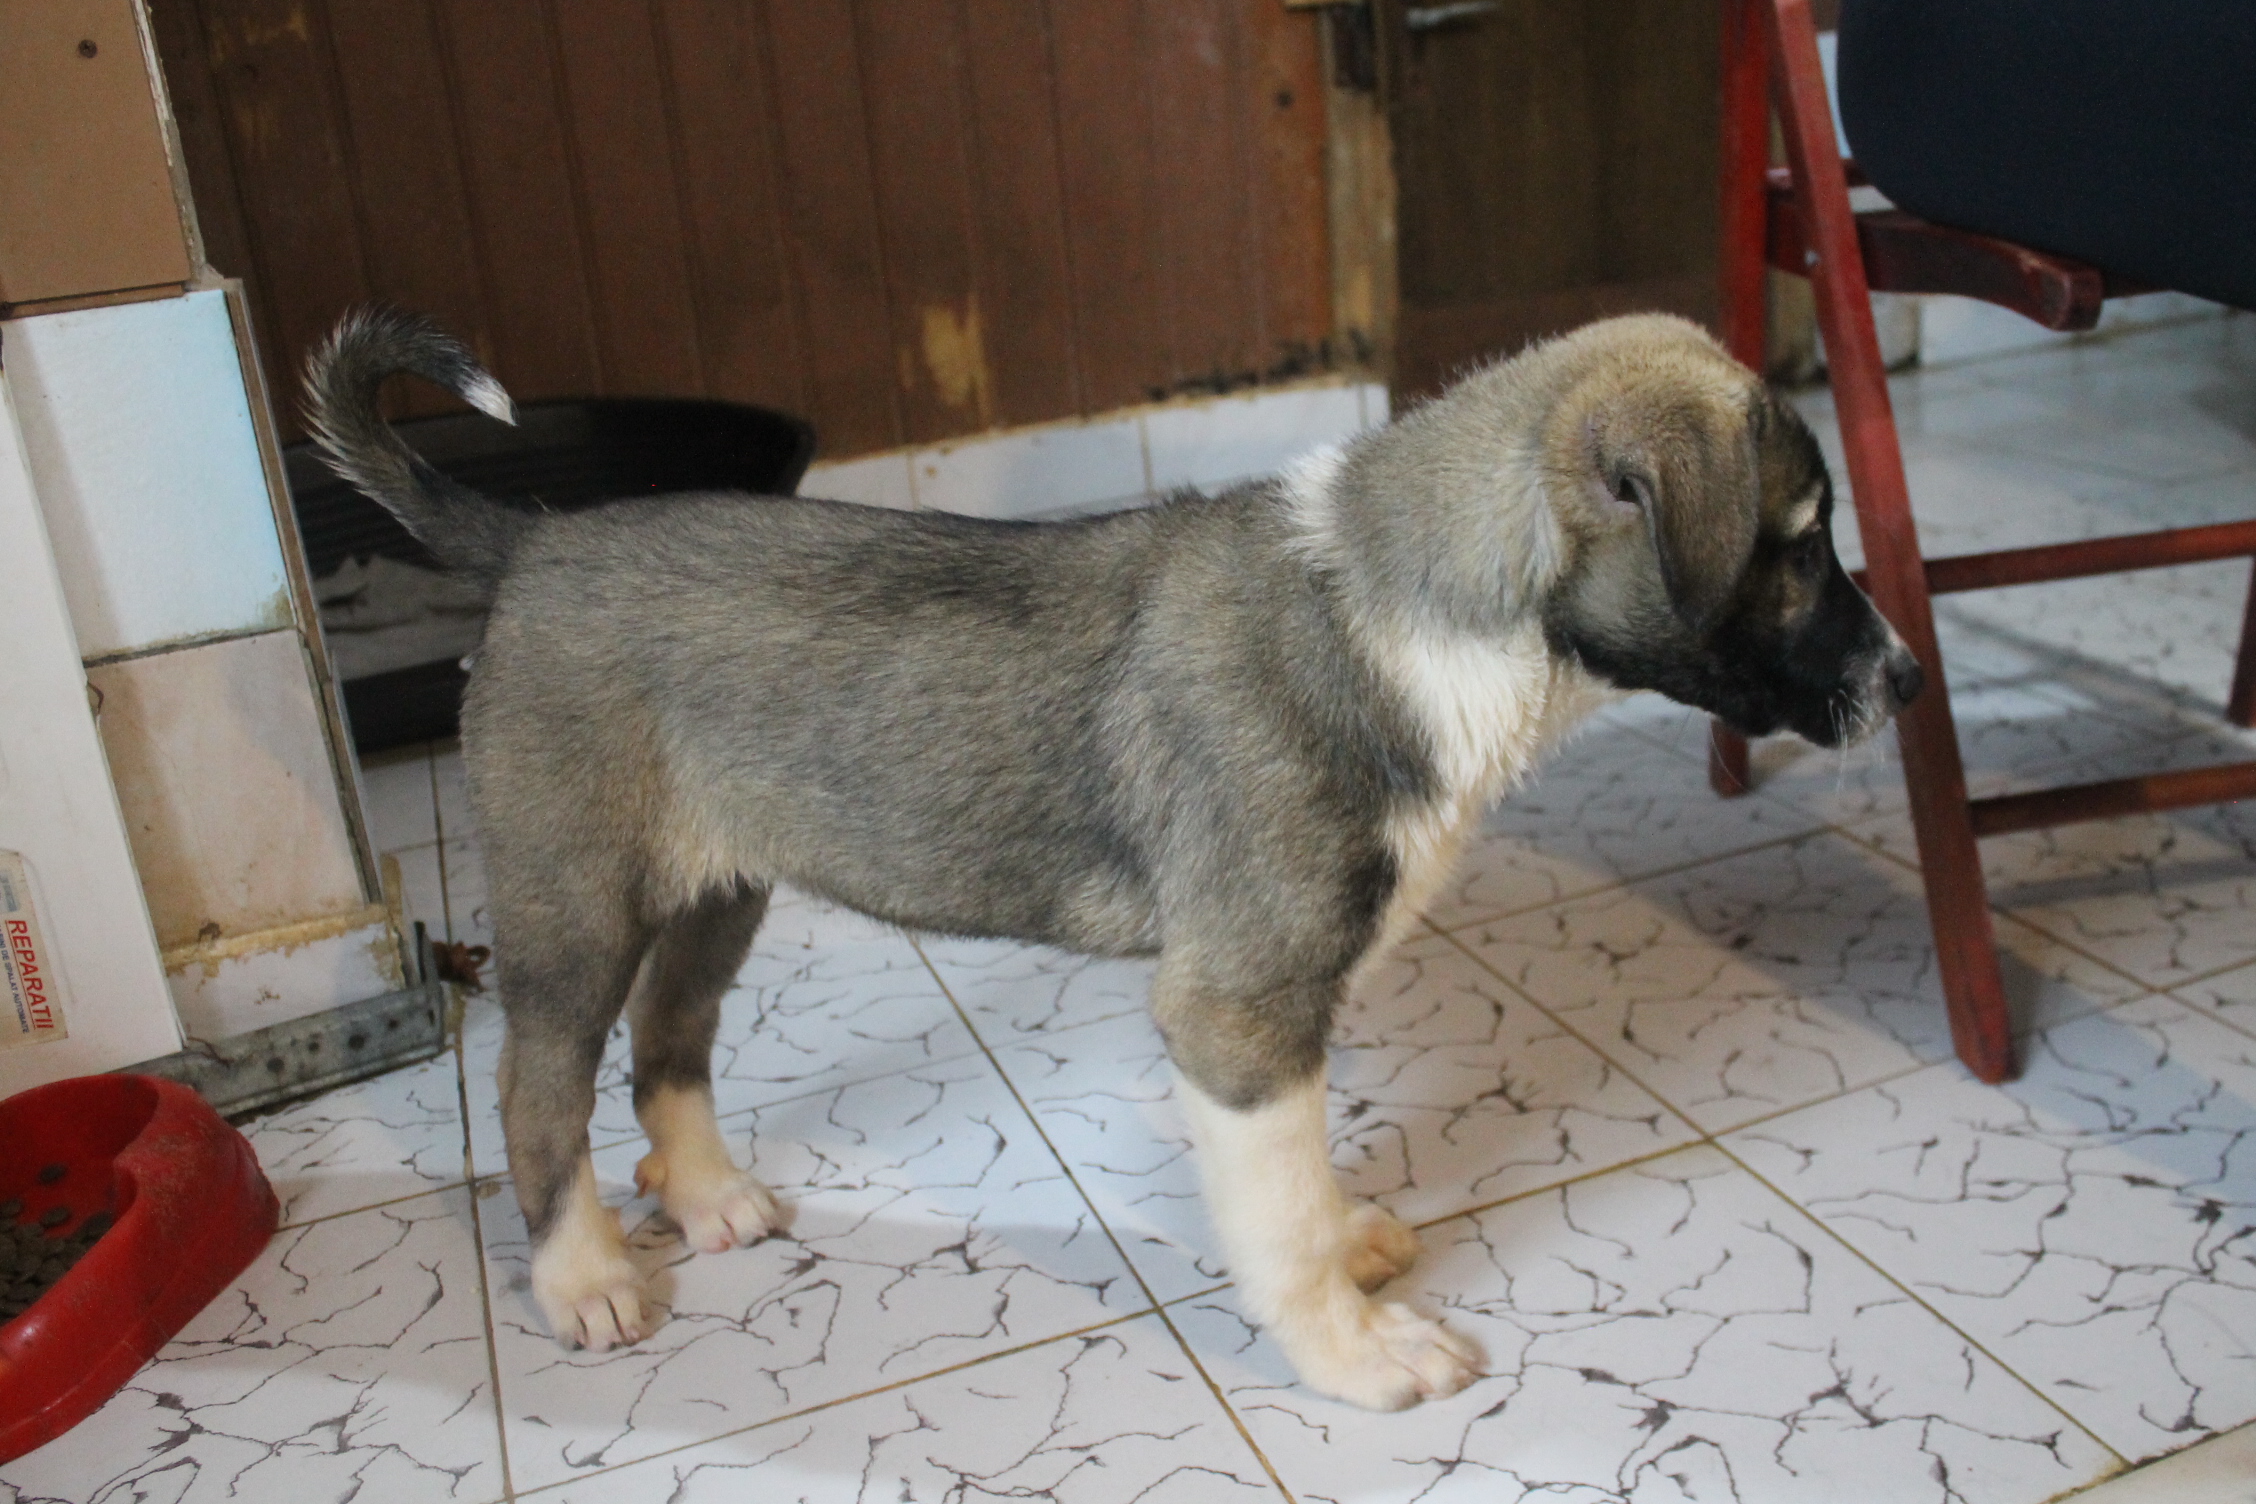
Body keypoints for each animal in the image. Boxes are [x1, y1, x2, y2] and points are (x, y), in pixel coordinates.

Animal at [306, 308, 1920, 1411]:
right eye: (1794, 549)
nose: (1907, 681)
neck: (1425, 620)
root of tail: (530, 544)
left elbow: (1306, 1178)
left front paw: (1353, 1249)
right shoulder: (1239, 1011)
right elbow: (1277, 1211)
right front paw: (1354, 1352)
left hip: (721, 883)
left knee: (669, 1038)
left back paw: (704, 1198)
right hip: (575, 898)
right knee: (538, 1087)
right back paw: (582, 1275)